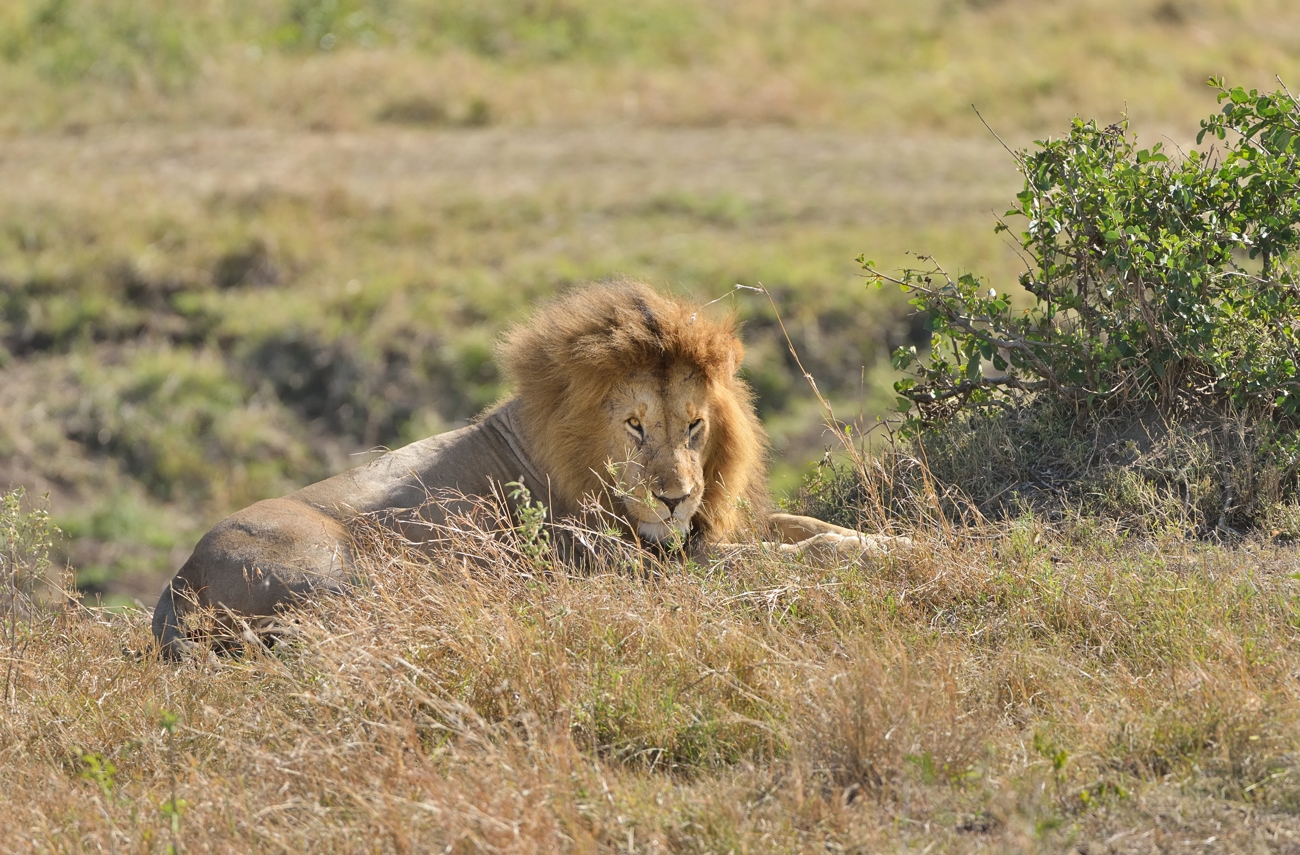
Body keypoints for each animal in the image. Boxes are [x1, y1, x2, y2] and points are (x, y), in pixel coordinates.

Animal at [149, 283, 904, 654]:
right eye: (635, 426)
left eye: (695, 424)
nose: (674, 498)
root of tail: (176, 586)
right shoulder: (631, 564)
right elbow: (780, 557)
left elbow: (805, 527)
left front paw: (894, 542)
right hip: (338, 566)